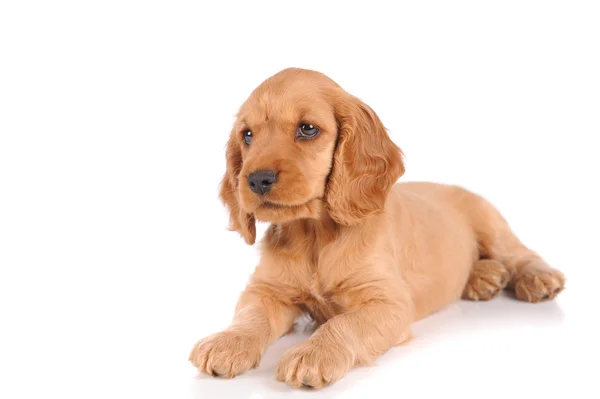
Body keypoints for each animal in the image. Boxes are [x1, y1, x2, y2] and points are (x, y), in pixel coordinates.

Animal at [189, 67, 568, 390]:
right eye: (247, 135)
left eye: (307, 129)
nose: (256, 180)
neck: (315, 235)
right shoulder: (266, 290)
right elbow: (250, 316)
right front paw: (227, 341)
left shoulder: (388, 302)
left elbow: (343, 323)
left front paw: (312, 353)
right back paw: (484, 277)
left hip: (489, 221)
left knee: (520, 253)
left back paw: (537, 278)